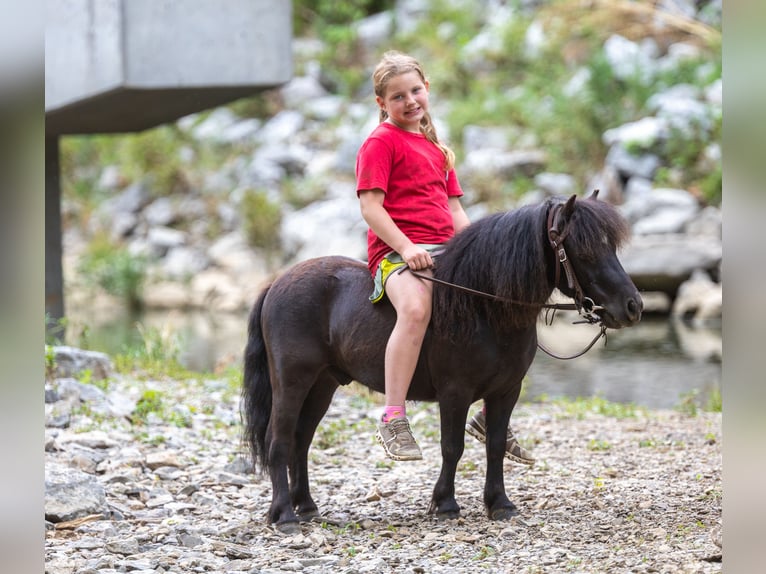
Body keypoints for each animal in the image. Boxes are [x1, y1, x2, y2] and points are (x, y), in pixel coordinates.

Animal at [242, 192, 642, 533]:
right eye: (584, 249)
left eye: (611, 246)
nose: (633, 306)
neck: (484, 307)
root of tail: (276, 284)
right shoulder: (455, 392)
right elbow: (453, 447)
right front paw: (445, 504)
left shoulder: (506, 391)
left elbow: (494, 444)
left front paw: (499, 503)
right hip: (292, 381)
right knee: (279, 439)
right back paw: (284, 514)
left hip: (322, 384)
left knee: (301, 440)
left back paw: (306, 506)